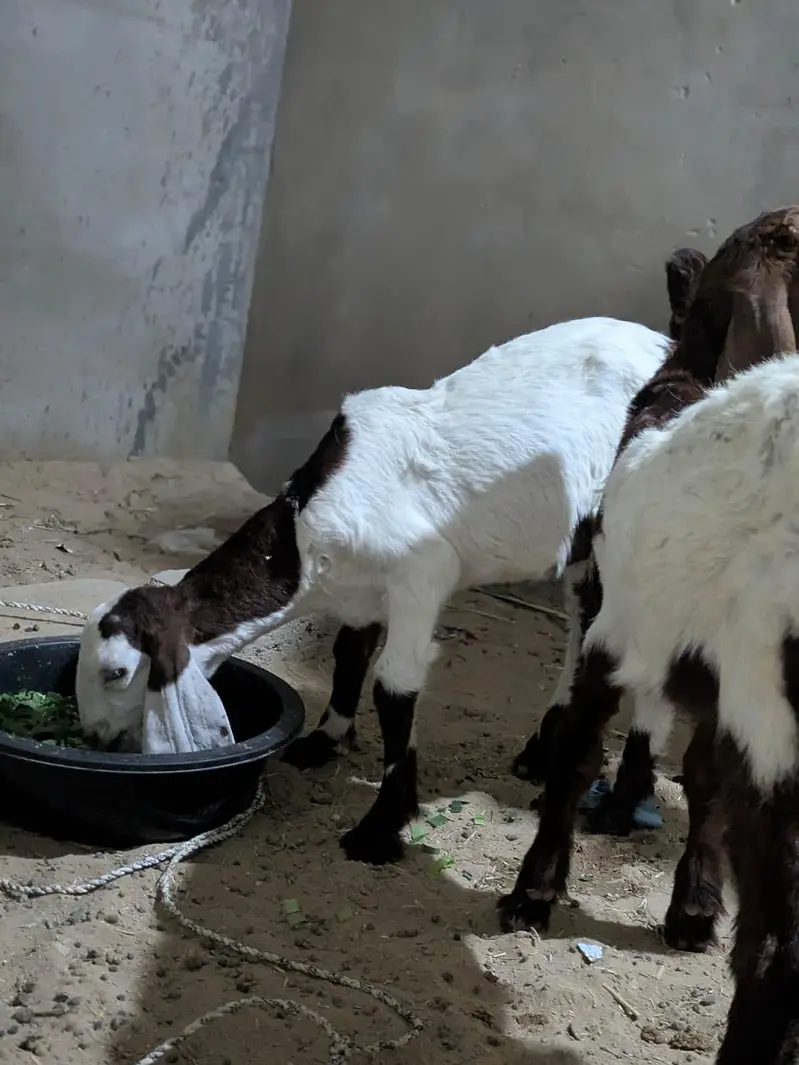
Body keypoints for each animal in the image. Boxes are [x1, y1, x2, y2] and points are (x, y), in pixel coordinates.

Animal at [76, 316, 670, 866]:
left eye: (116, 672)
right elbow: (348, 654)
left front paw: (380, 826)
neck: (302, 538)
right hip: (584, 547)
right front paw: (325, 739)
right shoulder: (359, 591)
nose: (97, 738)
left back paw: (620, 802)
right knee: (584, 624)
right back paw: (544, 751)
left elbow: (394, 687)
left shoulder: (421, 572)